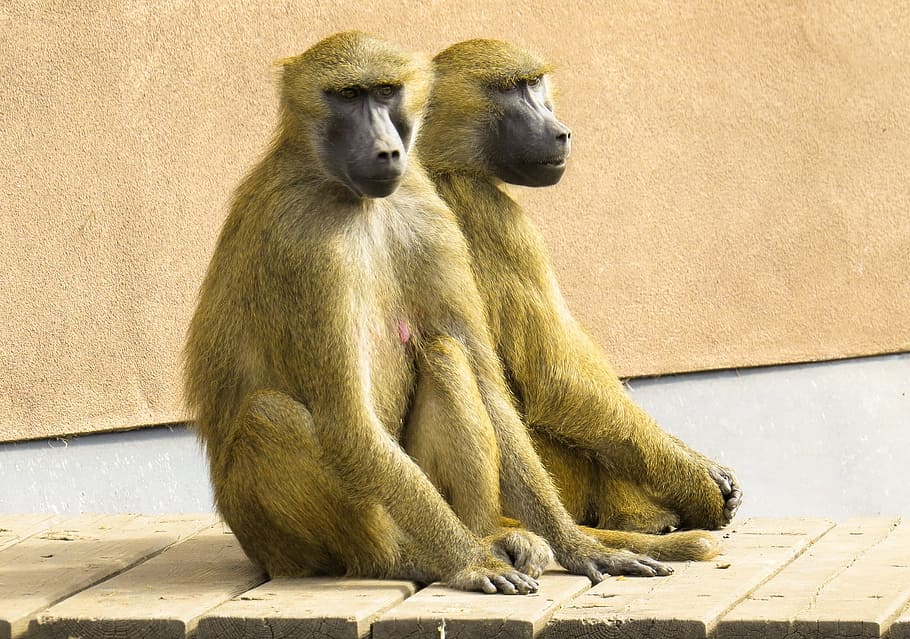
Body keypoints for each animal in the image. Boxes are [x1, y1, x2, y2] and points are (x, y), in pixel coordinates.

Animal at [182, 31, 691, 597]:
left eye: (386, 92)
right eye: (348, 96)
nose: (387, 149)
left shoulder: (431, 218)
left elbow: (489, 385)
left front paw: (579, 547)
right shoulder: (310, 250)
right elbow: (350, 423)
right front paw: (468, 563)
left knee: (446, 352)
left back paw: (491, 535)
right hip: (294, 538)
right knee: (271, 415)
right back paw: (410, 559)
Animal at [416, 39, 743, 537]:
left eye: (535, 84)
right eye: (511, 89)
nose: (561, 132)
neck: (439, 159)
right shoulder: (495, 218)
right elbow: (555, 377)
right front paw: (701, 487)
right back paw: (643, 519)